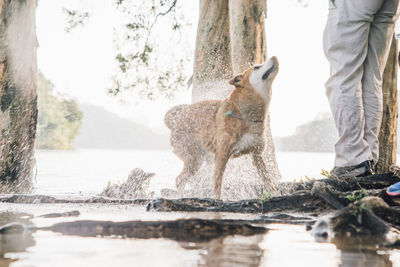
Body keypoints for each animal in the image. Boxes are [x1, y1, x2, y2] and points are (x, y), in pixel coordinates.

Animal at [164, 56, 280, 199]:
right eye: (256, 67)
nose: (274, 57)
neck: (245, 114)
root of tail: (175, 121)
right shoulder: (222, 155)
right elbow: (217, 185)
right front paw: (218, 200)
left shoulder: (256, 154)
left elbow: (268, 180)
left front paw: (276, 194)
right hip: (195, 158)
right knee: (179, 180)